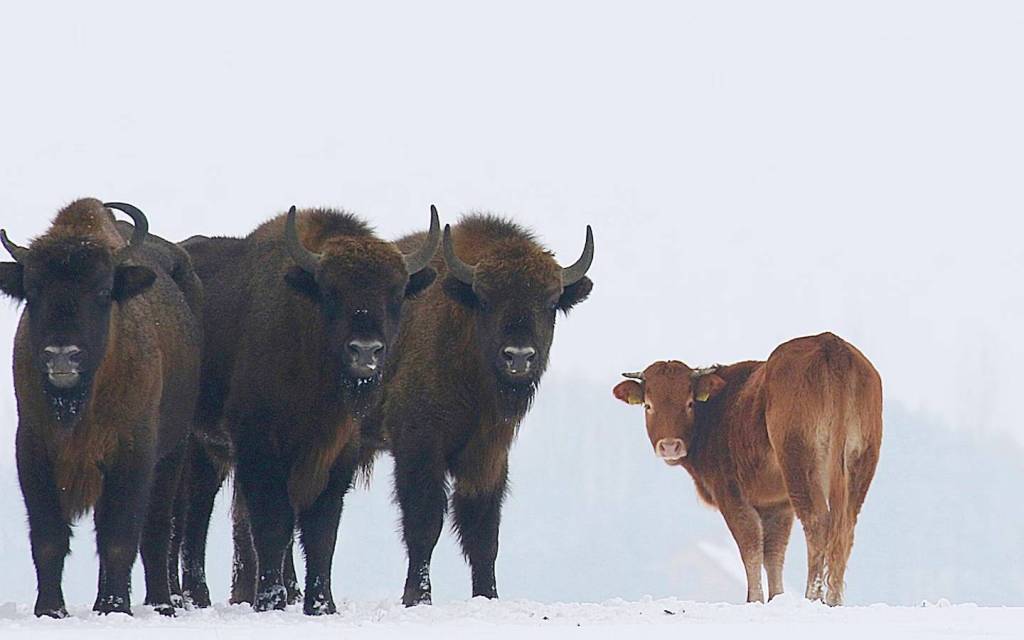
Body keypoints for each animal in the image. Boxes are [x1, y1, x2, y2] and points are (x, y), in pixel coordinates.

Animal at [0, 198, 201, 617]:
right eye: (33, 290)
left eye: (103, 289)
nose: (62, 355)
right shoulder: (33, 448)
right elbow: (49, 537)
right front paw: (50, 610)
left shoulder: (133, 453)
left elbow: (120, 538)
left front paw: (115, 608)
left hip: (172, 454)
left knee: (157, 531)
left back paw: (161, 603)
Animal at [178, 205, 440, 615]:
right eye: (331, 292)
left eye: (396, 293)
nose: (365, 351)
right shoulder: (259, 447)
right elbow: (273, 523)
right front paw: (270, 601)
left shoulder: (338, 453)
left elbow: (321, 530)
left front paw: (321, 605)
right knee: (189, 516)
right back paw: (190, 598)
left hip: (210, 451)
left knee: (196, 513)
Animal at [363, 214, 594, 606]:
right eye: (486, 300)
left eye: (550, 302)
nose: (519, 357)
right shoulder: (418, 446)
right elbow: (425, 522)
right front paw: (417, 598)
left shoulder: (489, 454)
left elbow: (483, 533)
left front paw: (488, 596)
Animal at [612, 332, 882, 606]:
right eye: (648, 405)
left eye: (689, 403)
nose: (669, 446)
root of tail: (830, 345)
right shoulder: (777, 504)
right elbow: (773, 552)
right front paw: (776, 597)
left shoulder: (731, 494)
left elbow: (750, 544)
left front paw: (754, 599)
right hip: (860, 464)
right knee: (845, 528)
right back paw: (835, 600)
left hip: (800, 464)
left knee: (817, 522)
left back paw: (813, 597)